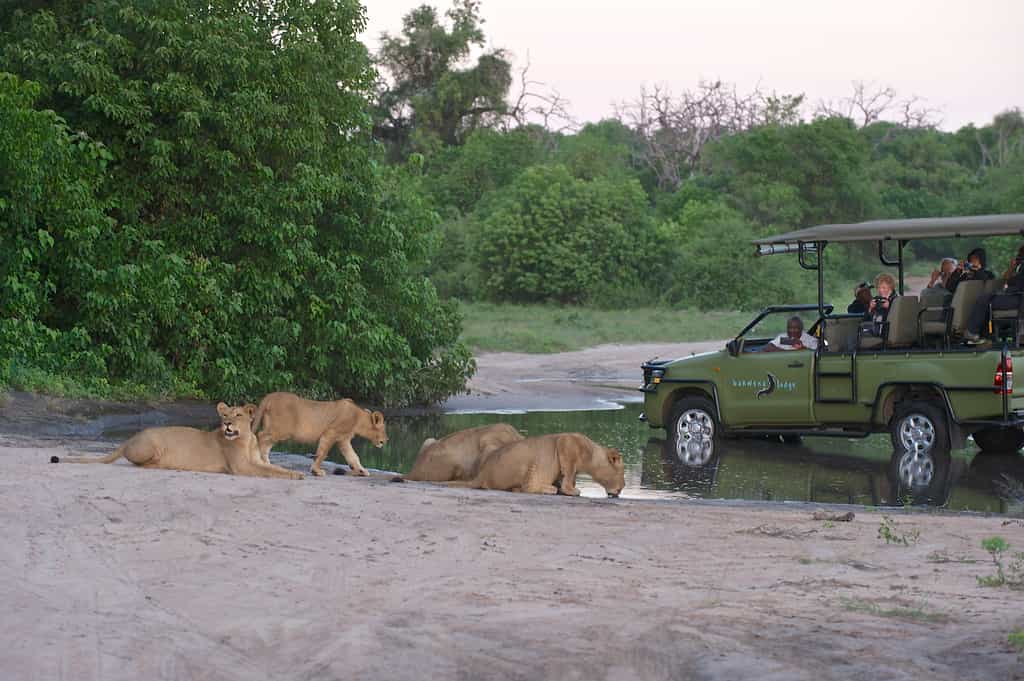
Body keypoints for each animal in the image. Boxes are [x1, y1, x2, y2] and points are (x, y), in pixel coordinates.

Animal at [56, 403, 303, 479]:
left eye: (238, 415)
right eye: (225, 415)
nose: (227, 424)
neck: (246, 438)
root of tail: (128, 439)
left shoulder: (256, 461)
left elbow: (275, 467)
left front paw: (295, 473)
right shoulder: (241, 467)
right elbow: (270, 472)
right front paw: (295, 476)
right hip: (153, 444)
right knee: (141, 465)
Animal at [252, 391, 387, 477]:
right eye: (383, 429)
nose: (386, 440)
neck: (358, 419)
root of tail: (270, 396)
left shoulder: (343, 440)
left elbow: (353, 456)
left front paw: (361, 470)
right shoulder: (330, 433)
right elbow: (322, 453)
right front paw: (316, 471)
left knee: (265, 441)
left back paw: (266, 463)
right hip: (281, 430)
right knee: (260, 436)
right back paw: (260, 461)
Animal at [447, 432, 625, 497]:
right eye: (622, 471)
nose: (622, 488)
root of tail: (482, 473)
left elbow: (568, 476)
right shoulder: (566, 444)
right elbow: (569, 474)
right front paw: (571, 490)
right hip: (529, 460)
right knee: (526, 487)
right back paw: (549, 489)